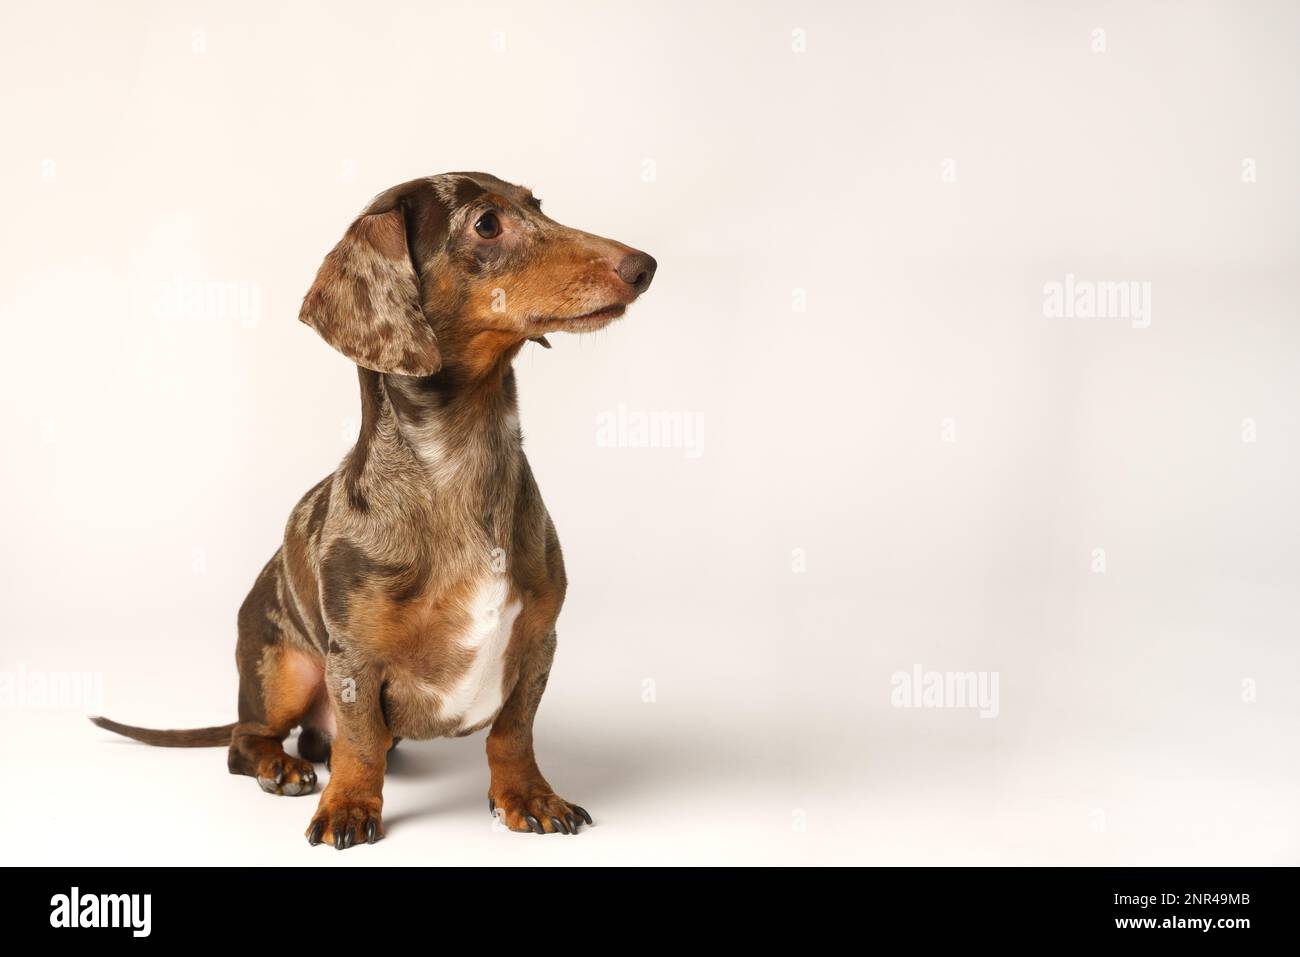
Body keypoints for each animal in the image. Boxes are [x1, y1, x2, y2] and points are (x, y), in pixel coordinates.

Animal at [91, 171, 655, 842]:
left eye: (537, 205)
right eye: (486, 224)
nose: (644, 265)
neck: (462, 464)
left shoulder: (539, 639)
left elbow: (512, 734)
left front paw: (528, 796)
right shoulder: (354, 661)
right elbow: (358, 744)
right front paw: (349, 806)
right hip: (280, 670)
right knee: (250, 740)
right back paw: (281, 767)